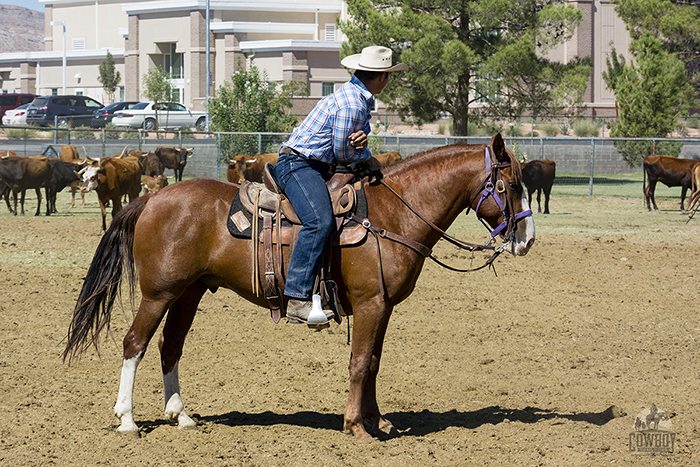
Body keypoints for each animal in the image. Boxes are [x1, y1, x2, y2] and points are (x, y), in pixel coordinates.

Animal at [64, 133, 536, 442]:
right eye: (511, 185)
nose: (527, 240)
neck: (391, 214)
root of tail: (151, 198)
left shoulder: (383, 306)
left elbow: (374, 363)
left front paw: (378, 421)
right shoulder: (370, 304)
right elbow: (359, 363)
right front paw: (355, 427)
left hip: (190, 292)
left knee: (169, 346)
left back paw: (181, 416)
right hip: (159, 293)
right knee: (135, 343)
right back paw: (127, 419)